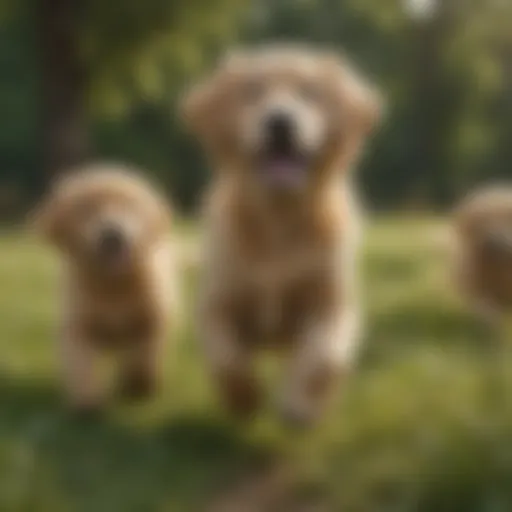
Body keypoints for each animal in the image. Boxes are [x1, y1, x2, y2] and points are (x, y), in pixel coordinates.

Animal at [34, 166, 176, 414]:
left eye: (129, 205)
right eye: (87, 209)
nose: (112, 234)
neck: (113, 286)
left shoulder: (151, 318)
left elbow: (144, 355)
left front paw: (139, 385)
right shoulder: (78, 325)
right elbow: (81, 363)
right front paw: (87, 402)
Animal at [182, 46, 382, 426]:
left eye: (310, 93)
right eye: (252, 92)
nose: (279, 122)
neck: (280, 219)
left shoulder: (333, 301)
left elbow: (324, 355)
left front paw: (298, 406)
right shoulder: (216, 302)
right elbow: (227, 357)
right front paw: (244, 400)